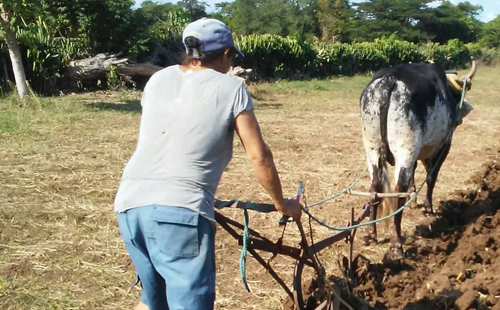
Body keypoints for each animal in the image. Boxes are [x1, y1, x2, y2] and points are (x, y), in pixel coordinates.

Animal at [362, 60, 474, 256]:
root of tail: (390, 79)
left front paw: (413, 198)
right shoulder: (444, 144)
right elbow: (431, 177)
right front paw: (428, 208)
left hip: (372, 147)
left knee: (375, 187)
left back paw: (371, 233)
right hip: (405, 149)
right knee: (399, 189)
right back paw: (396, 243)